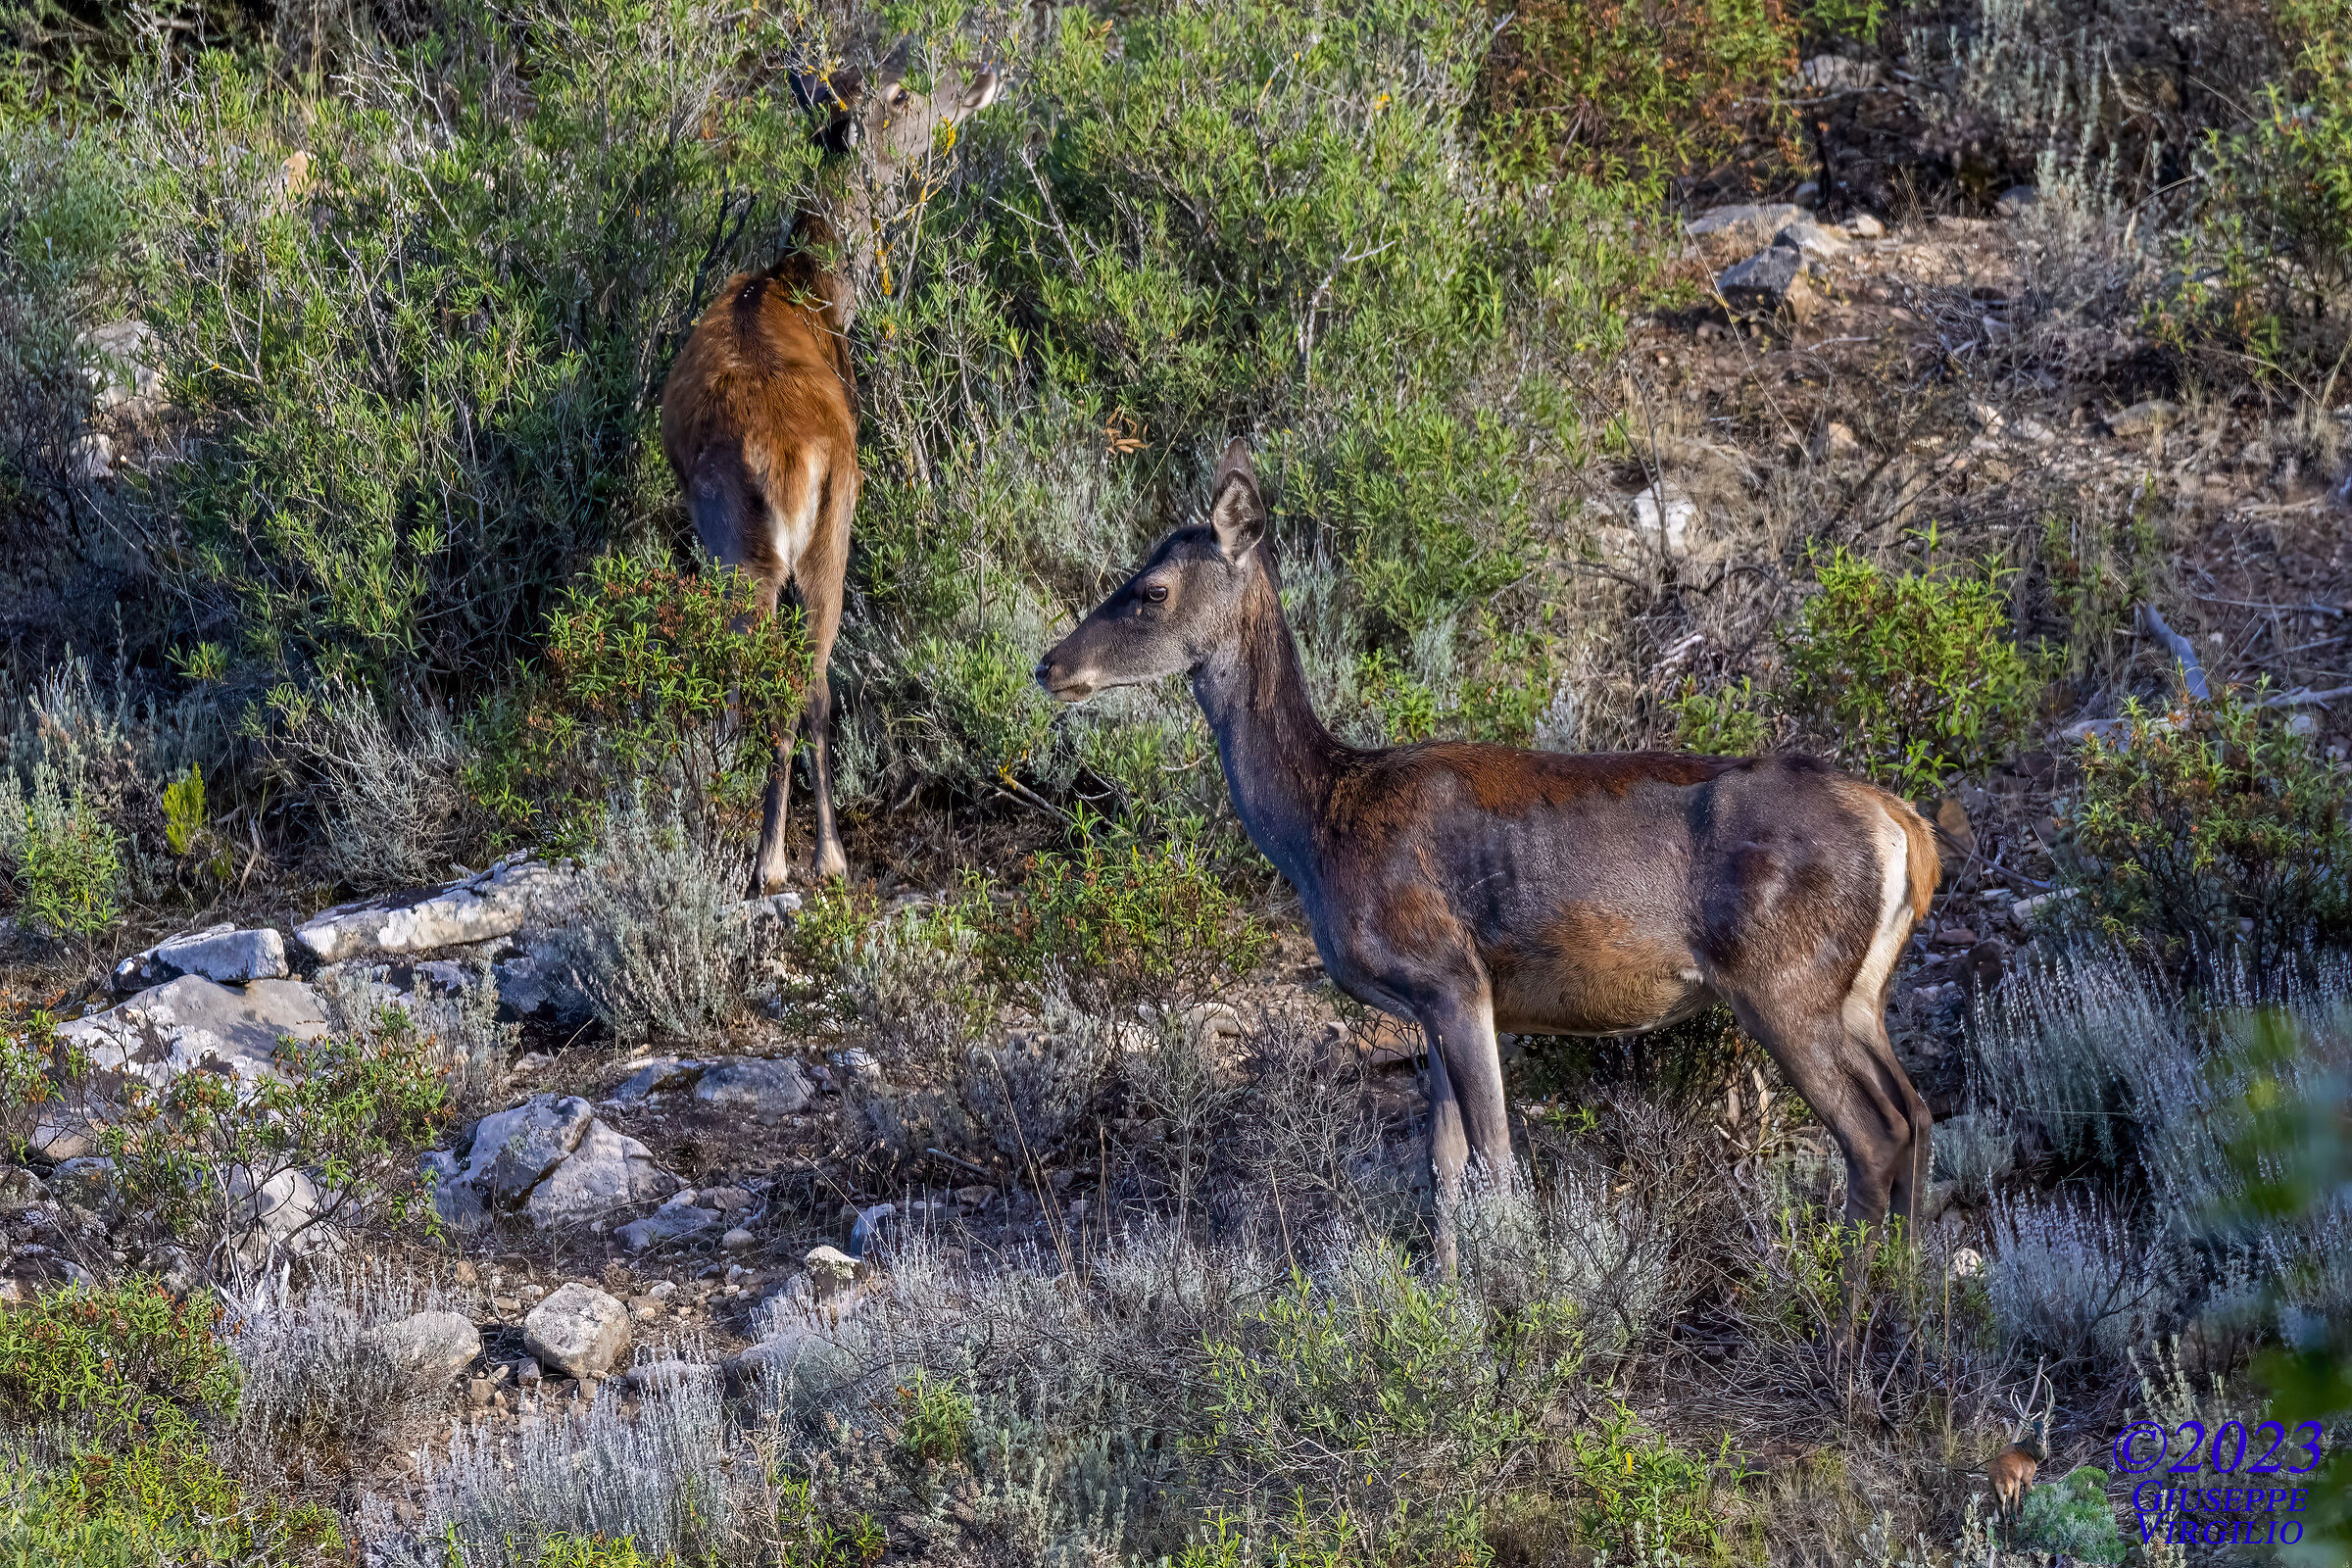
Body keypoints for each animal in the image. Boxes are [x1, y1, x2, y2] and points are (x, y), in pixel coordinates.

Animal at [660, 43, 1001, 891]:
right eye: (902, 93)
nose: (977, 82)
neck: (808, 292)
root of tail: (790, 459)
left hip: (761, 549)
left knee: (787, 683)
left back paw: (794, 858)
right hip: (810, 537)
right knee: (804, 684)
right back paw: (805, 858)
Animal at [1034, 439, 1941, 1271]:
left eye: (1152, 590)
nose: (1050, 665)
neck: (1320, 826)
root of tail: (1906, 827)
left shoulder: (1451, 975)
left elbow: (1498, 1167)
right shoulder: (1429, 1005)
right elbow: (1443, 1165)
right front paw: (1445, 1292)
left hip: (1783, 979)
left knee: (1873, 1132)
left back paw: (1850, 1306)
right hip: (1857, 991)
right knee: (1918, 1113)